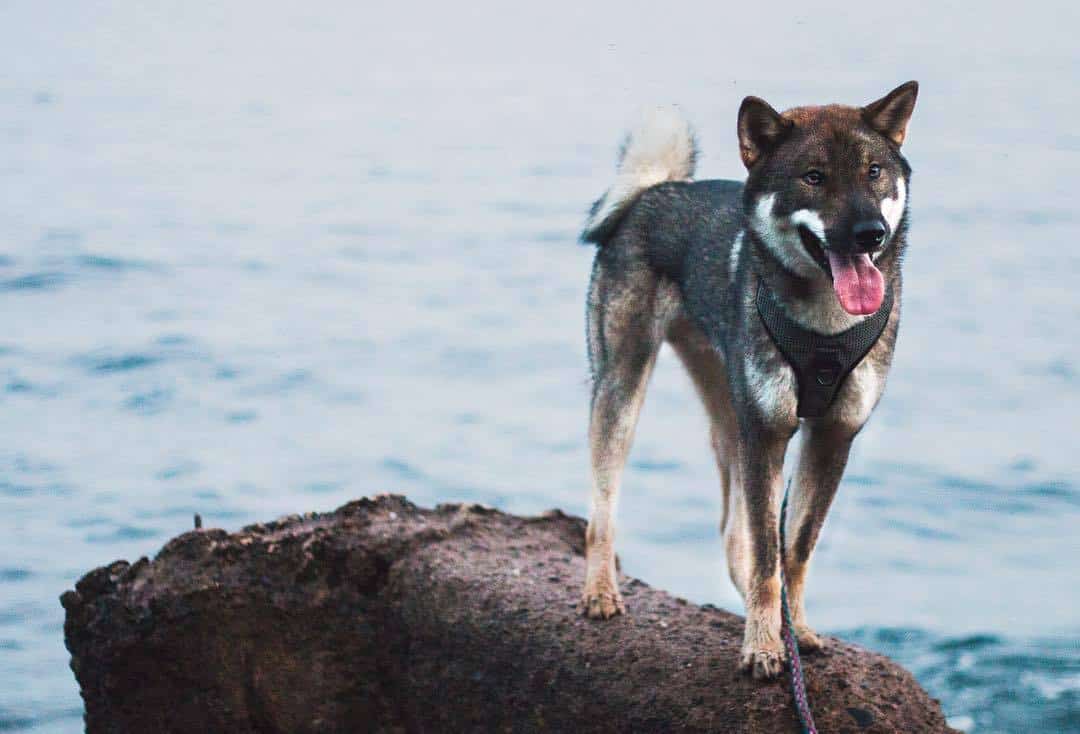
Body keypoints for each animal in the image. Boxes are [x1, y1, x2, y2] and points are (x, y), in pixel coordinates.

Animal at [578, 83, 915, 677]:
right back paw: (601, 591)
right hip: (623, 388)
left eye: (874, 171)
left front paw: (795, 628)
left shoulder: (830, 437)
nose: (869, 232)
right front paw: (762, 646)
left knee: (732, 533)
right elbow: (766, 554)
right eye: (814, 176)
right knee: (604, 505)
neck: (824, 326)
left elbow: (793, 550)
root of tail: (653, 190)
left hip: (727, 413)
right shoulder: (767, 432)